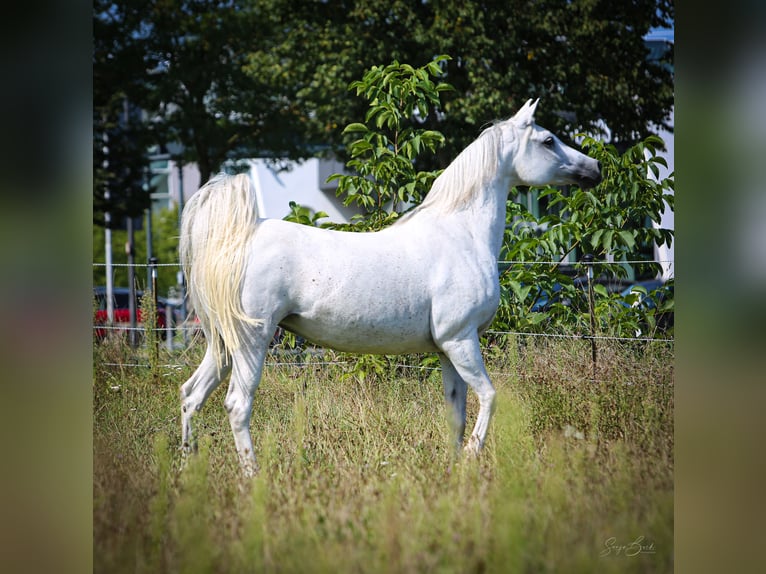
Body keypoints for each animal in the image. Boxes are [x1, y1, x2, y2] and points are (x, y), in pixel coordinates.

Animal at [182, 100, 608, 476]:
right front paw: (472, 455)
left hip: (222, 346)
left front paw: (454, 468)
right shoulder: (461, 340)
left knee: (191, 396)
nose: (595, 168)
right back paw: (252, 475)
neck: (462, 233)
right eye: (548, 140)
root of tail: (238, 238)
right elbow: (489, 396)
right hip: (252, 343)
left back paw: (189, 469)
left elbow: (456, 412)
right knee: (237, 405)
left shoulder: (448, 351)